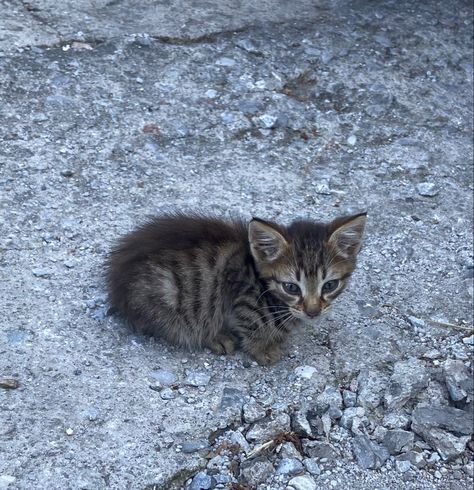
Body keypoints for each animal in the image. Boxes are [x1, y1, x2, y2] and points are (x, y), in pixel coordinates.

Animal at [106, 212, 366, 366]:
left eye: (329, 285)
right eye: (291, 287)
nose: (313, 312)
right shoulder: (242, 300)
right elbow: (251, 327)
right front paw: (262, 349)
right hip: (169, 300)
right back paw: (216, 337)